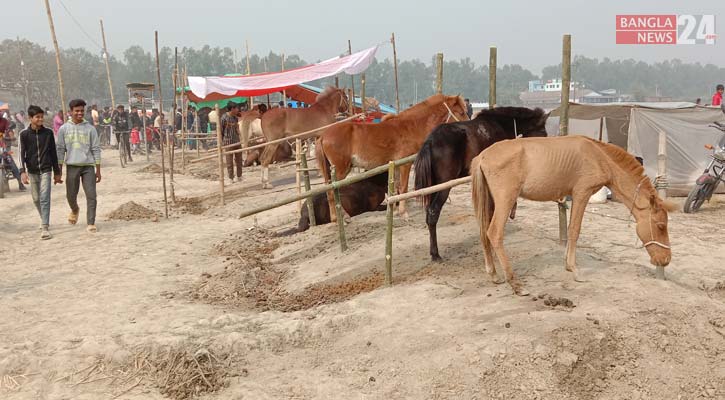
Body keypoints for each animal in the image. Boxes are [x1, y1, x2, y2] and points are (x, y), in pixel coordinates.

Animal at [316, 94, 470, 220]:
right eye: (461, 112)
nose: (467, 126)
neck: (411, 127)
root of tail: (323, 135)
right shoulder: (405, 165)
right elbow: (404, 188)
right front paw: (403, 213)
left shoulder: (395, 165)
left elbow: (396, 188)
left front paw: (395, 211)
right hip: (340, 170)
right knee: (331, 191)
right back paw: (340, 218)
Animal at [412, 108, 548, 260]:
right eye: (543, 132)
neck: (501, 126)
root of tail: (430, 141)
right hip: (444, 186)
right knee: (433, 212)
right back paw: (435, 254)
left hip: (433, 187)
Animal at [470, 136, 672, 296]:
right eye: (661, 226)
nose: (665, 260)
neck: (599, 157)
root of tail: (482, 156)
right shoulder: (582, 193)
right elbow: (575, 229)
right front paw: (575, 271)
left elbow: (569, 229)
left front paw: (568, 265)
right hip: (505, 200)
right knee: (494, 233)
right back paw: (515, 284)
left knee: (483, 232)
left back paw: (494, 274)